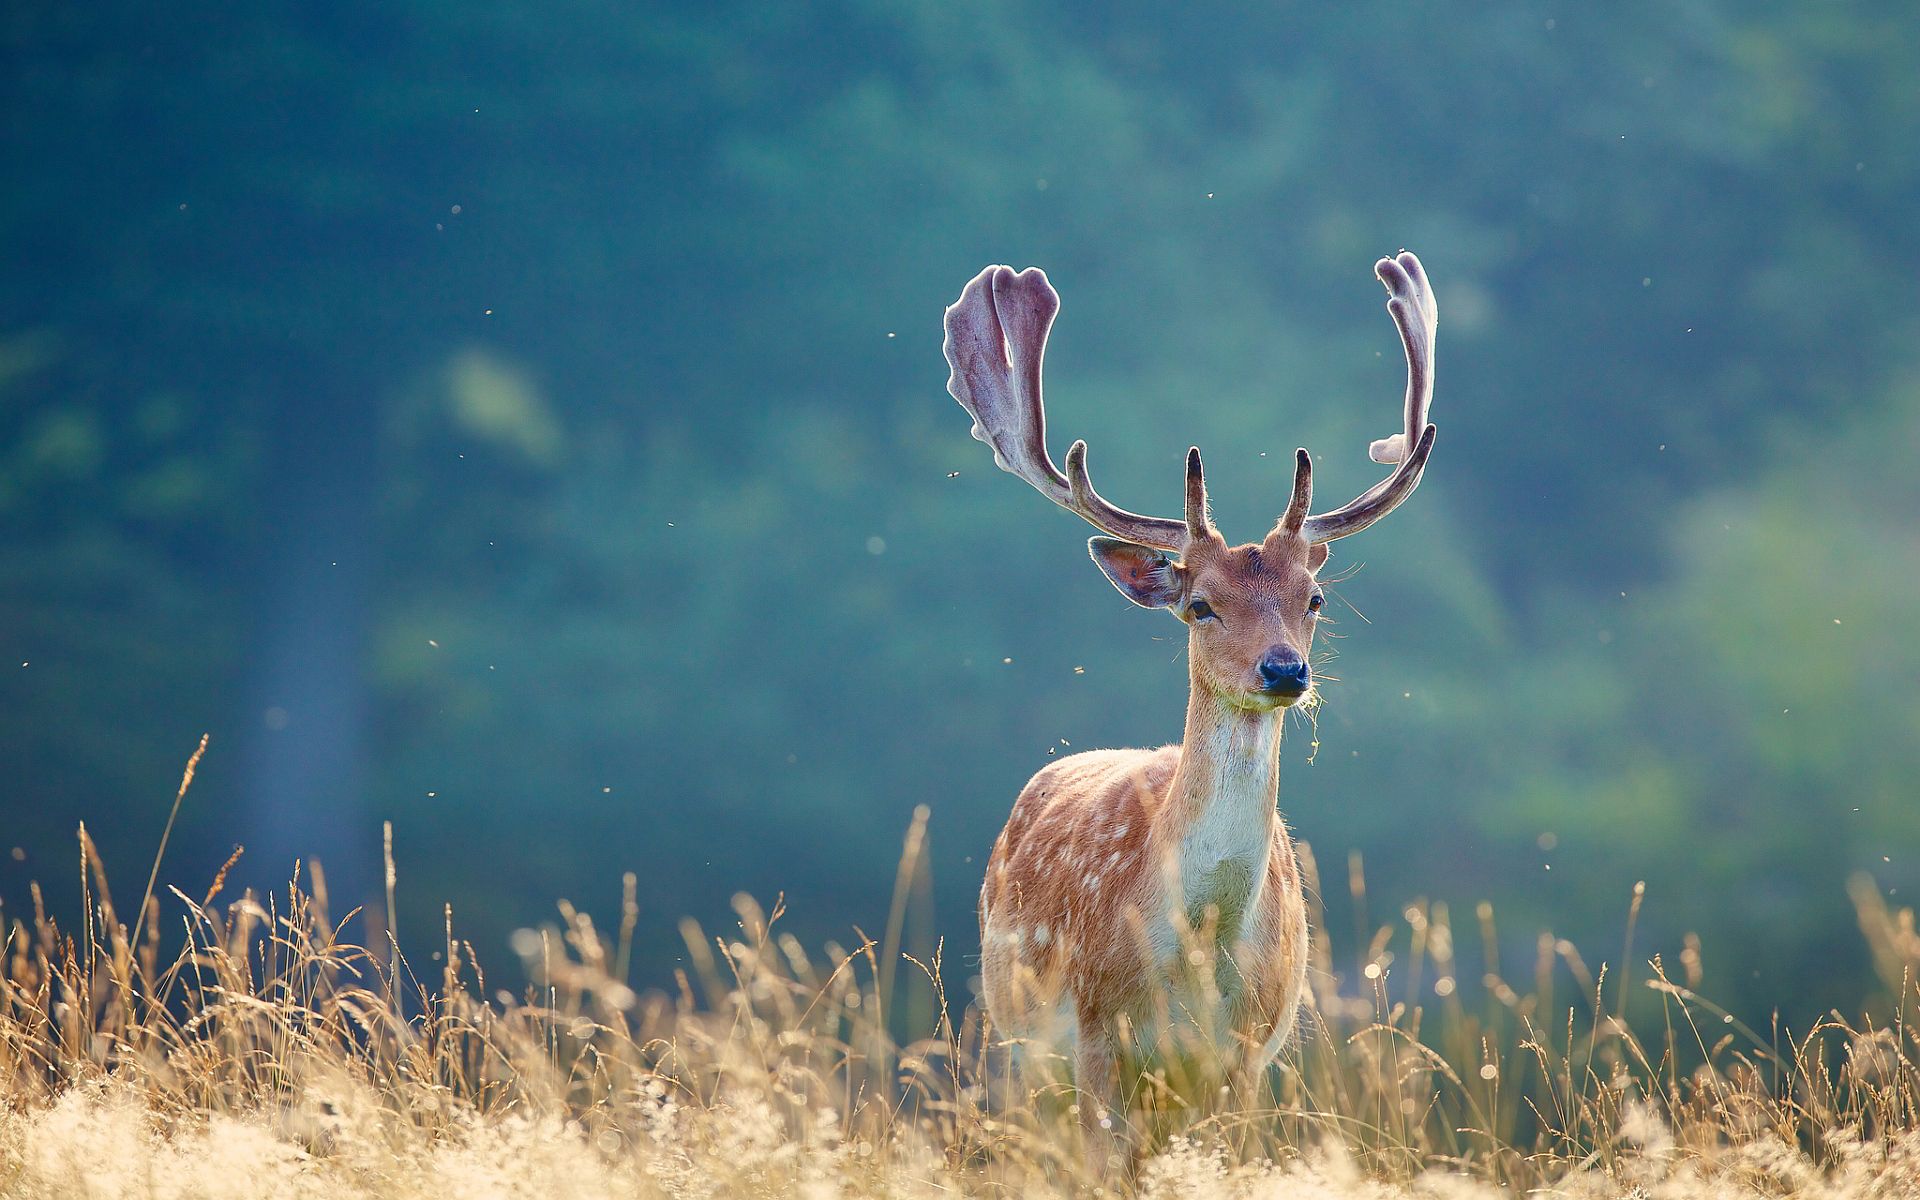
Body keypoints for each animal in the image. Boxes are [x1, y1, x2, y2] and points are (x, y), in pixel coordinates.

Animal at [944, 249, 1443, 1159]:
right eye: (1201, 604)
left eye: (1313, 597)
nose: (1284, 671)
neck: (1195, 954)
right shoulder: (1095, 1037)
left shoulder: (1244, 1054)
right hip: (1016, 1042)